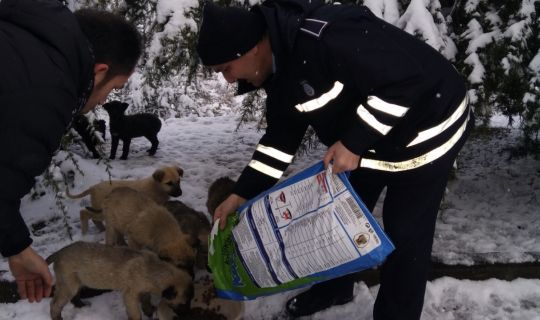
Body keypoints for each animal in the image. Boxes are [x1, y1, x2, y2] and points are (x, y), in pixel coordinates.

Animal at [47, 241, 194, 320]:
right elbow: (136, 314)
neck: (153, 269)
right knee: (55, 305)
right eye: (183, 304)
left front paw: (149, 312)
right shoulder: (130, 296)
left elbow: (146, 303)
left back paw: (82, 306)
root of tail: (59, 252)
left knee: (74, 298)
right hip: (68, 286)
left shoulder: (143, 291)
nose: (187, 314)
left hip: (76, 283)